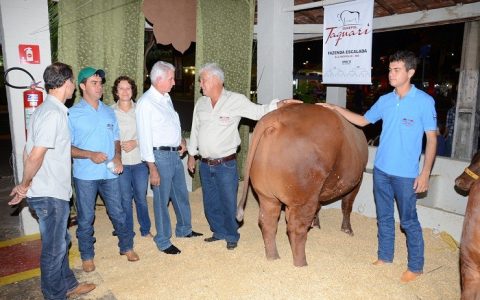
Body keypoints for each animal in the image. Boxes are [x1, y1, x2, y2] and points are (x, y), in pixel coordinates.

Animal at [236, 104, 368, 266]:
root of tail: (277, 117)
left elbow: (321, 206)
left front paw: (316, 223)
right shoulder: (357, 181)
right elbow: (347, 206)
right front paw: (347, 229)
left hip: (266, 195)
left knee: (267, 222)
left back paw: (273, 257)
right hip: (303, 198)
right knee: (296, 228)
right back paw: (301, 263)